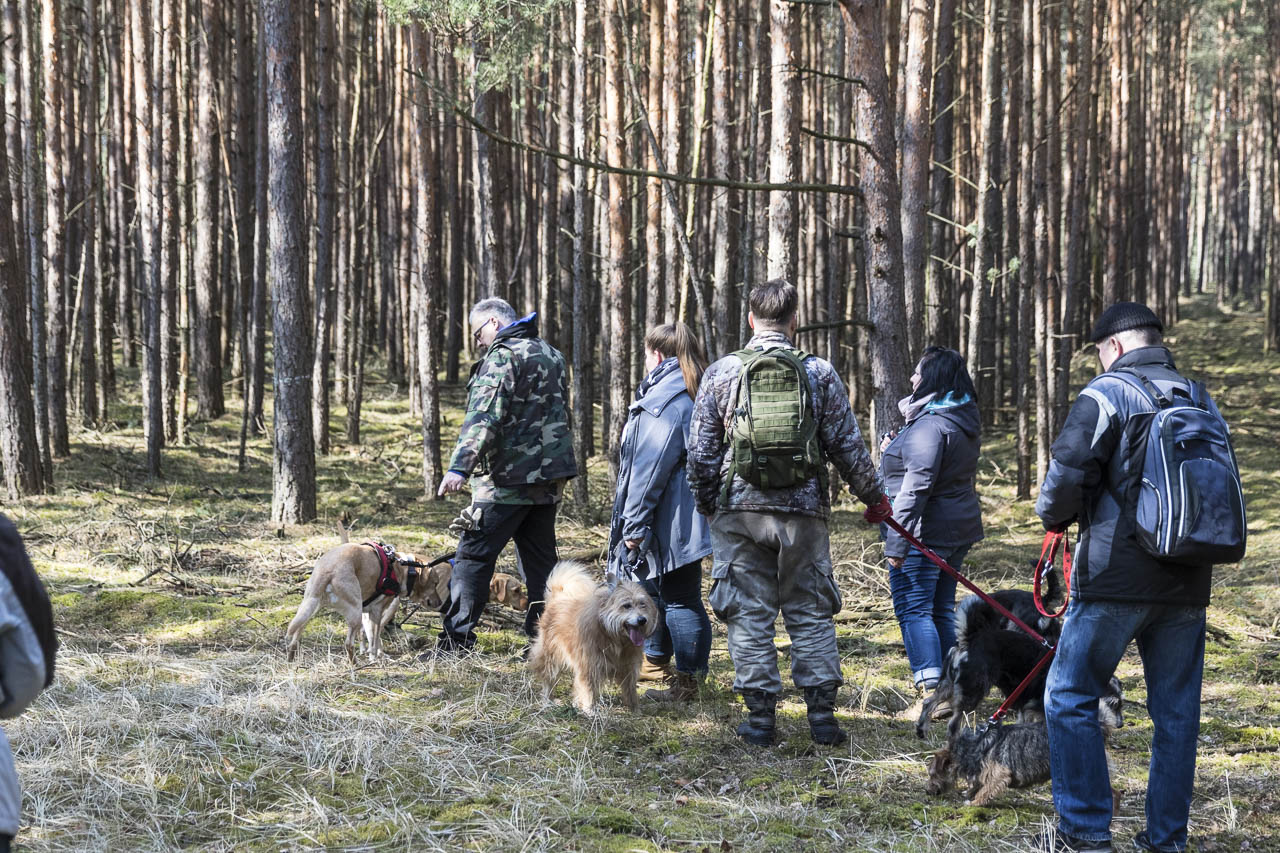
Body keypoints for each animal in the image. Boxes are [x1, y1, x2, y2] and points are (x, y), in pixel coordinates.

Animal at [284, 524, 451, 663]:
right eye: (435, 583)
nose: (440, 603)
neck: (403, 568)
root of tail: (328, 570)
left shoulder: (368, 612)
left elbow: (370, 636)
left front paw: (373, 655)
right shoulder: (377, 611)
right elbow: (375, 638)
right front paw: (375, 657)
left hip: (311, 606)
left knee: (295, 637)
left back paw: (292, 662)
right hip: (355, 611)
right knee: (348, 643)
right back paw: (355, 666)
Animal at [527, 561, 658, 713]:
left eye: (643, 605)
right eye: (626, 605)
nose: (642, 620)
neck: (613, 636)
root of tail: (557, 595)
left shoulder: (628, 667)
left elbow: (630, 690)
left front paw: (635, 710)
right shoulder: (589, 666)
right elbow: (588, 690)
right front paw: (590, 711)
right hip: (550, 656)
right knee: (549, 679)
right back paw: (548, 701)